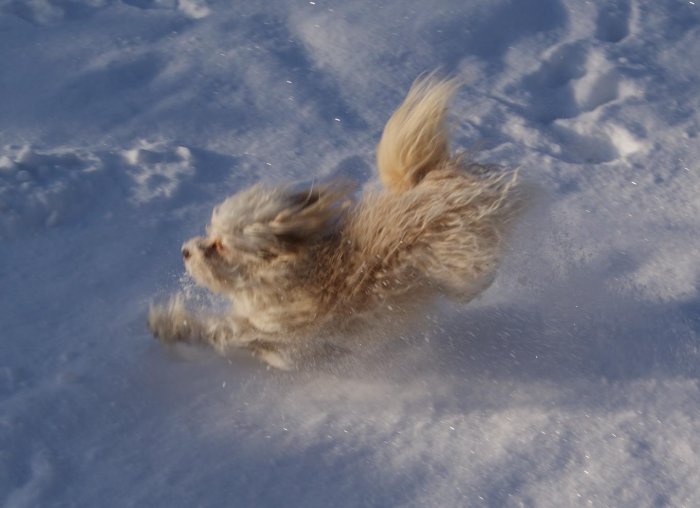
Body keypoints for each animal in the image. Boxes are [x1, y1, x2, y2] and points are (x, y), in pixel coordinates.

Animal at [148, 75, 520, 370]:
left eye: (220, 245)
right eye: (210, 233)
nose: (185, 250)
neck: (287, 274)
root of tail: (431, 178)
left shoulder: (289, 331)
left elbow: (230, 333)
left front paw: (172, 325)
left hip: (460, 250)